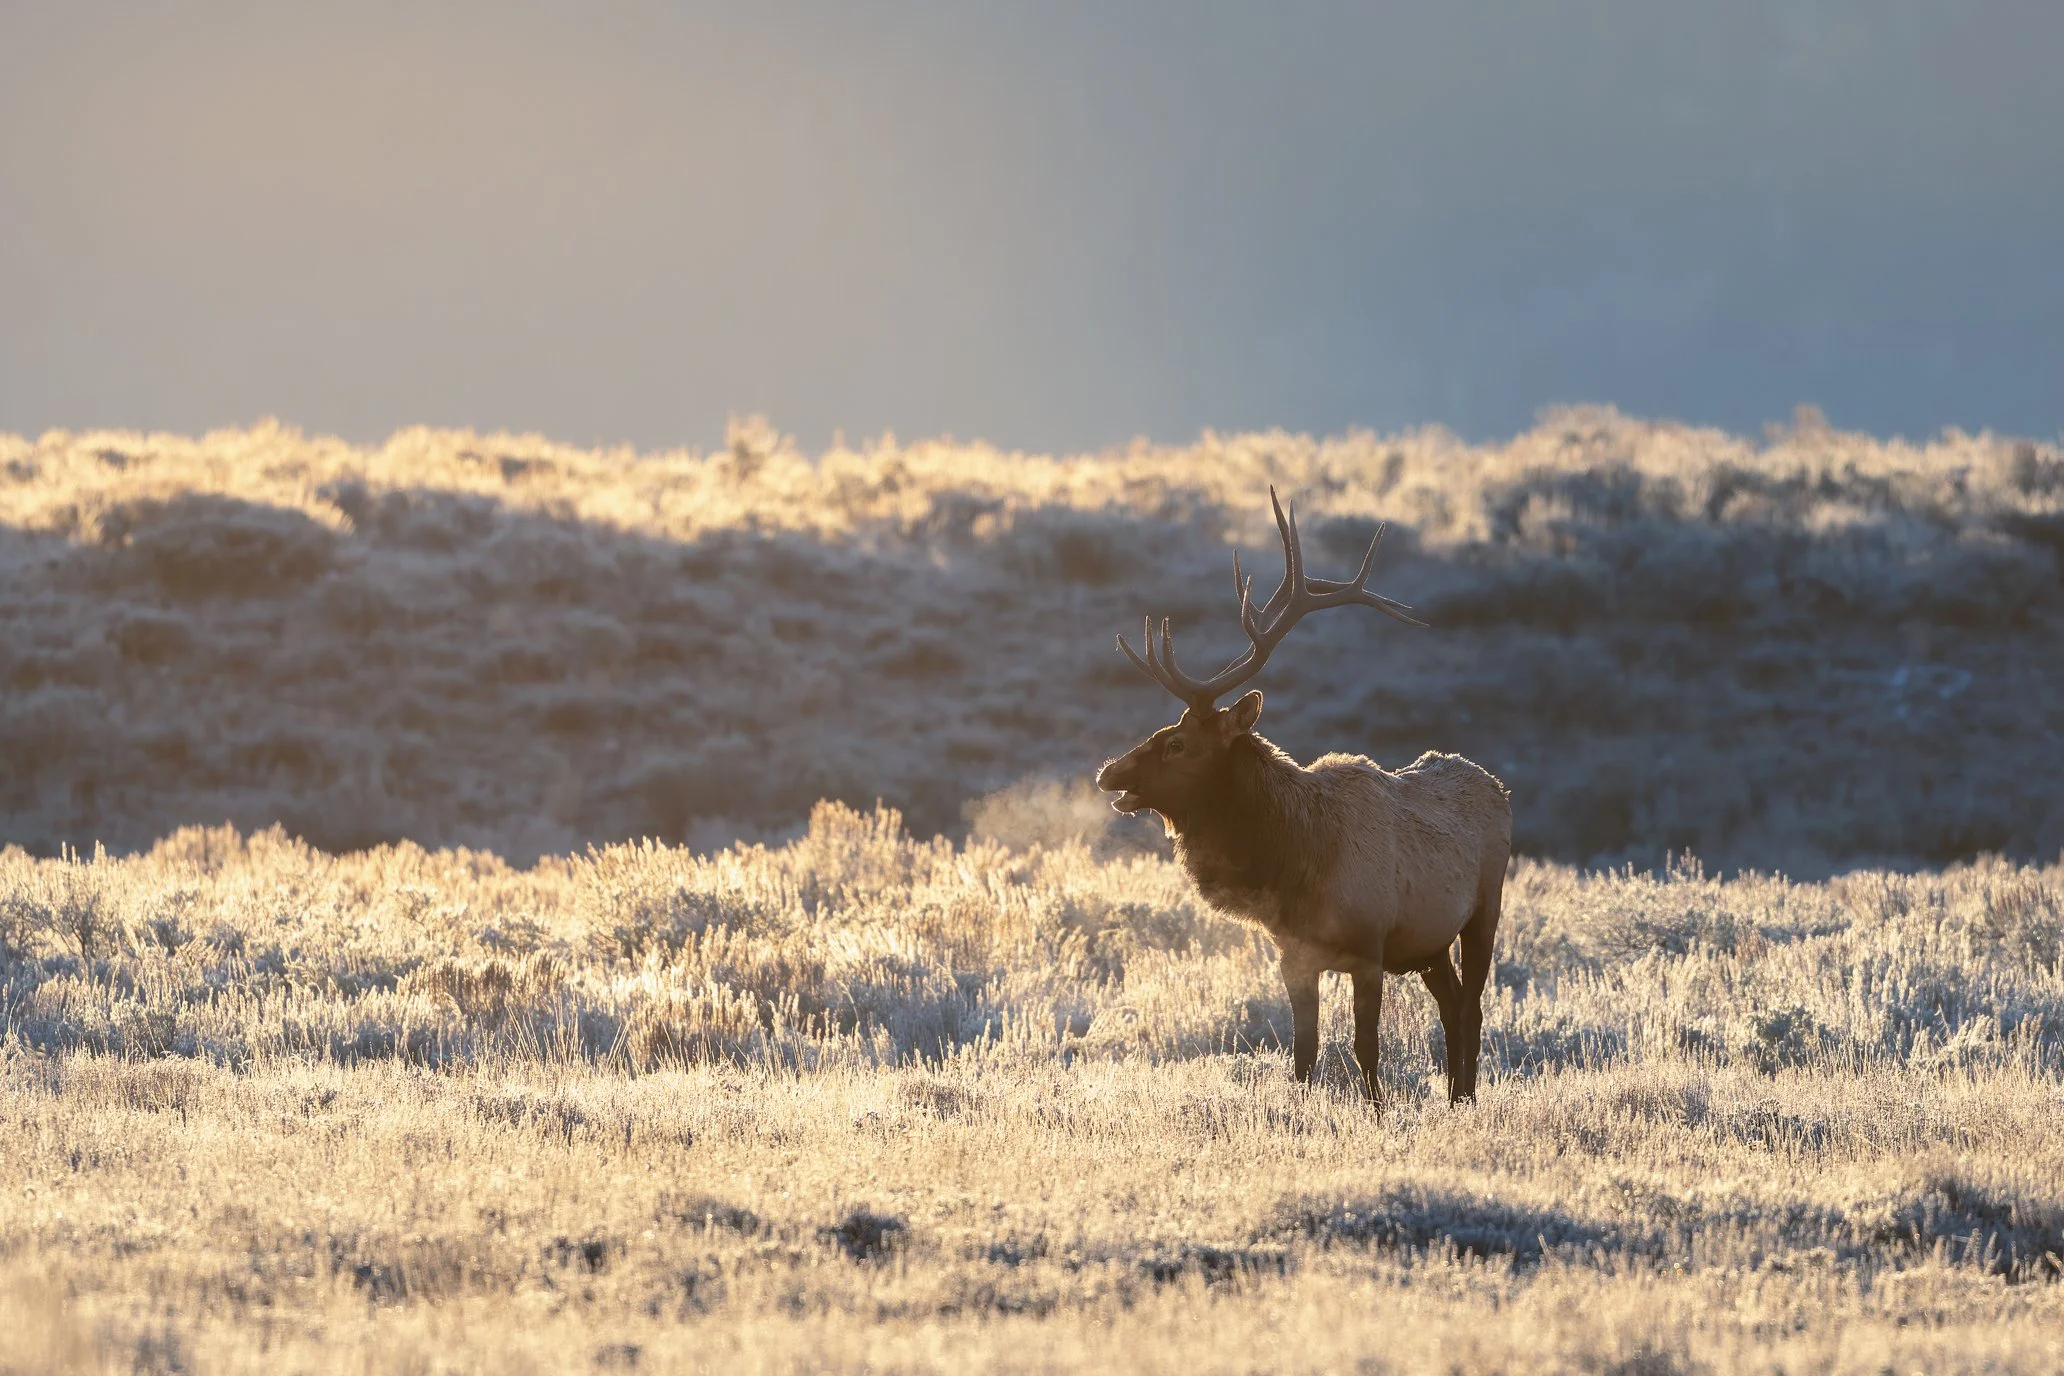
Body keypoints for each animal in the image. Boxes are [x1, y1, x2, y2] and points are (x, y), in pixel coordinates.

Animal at [1094, 488, 1511, 1106]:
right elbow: (1303, 1054)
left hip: (1484, 909)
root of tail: (1499, 788)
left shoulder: (1369, 950)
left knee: (1474, 1006)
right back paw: (1457, 1095)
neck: (1297, 863)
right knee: (1454, 1003)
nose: (1107, 773)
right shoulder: (1293, 955)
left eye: (1177, 743)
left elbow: (1366, 1050)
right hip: (1429, 945)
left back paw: (1467, 1098)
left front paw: (1377, 1111)